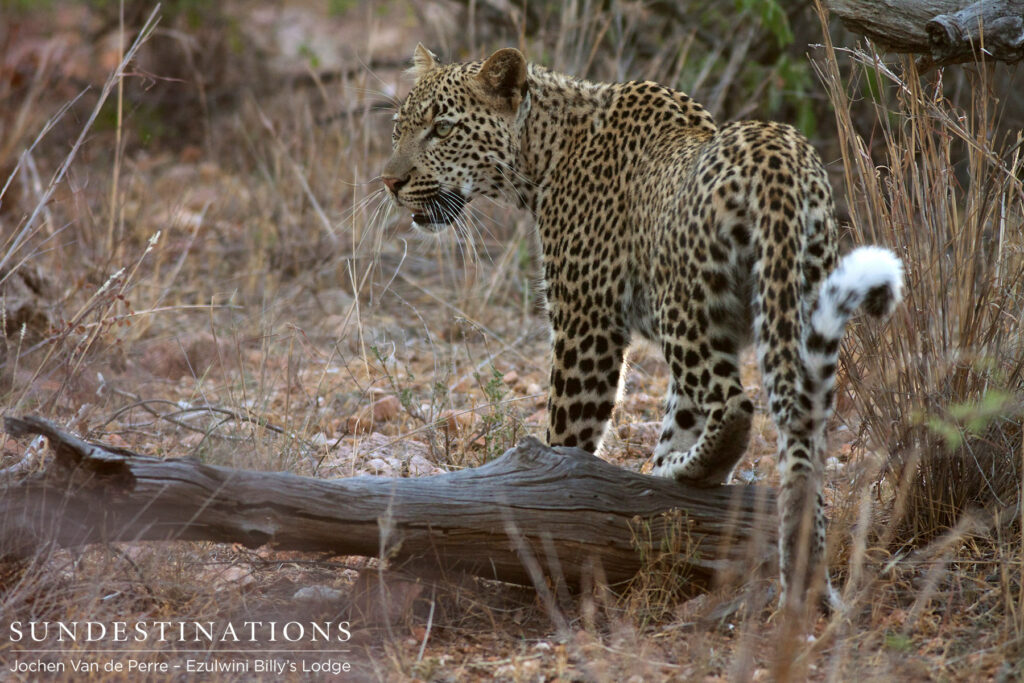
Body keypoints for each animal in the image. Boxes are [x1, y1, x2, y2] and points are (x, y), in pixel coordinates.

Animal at [380, 44, 903, 613]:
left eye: (442, 129)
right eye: (398, 128)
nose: (390, 183)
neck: (541, 154)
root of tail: (777, 163)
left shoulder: (586, 324)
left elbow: (567, 436)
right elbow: (680, 416)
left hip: (687, 310)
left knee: (735, 408)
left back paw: (684, 475)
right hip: (804, 311)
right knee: (799, 439)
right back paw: (806, 575)